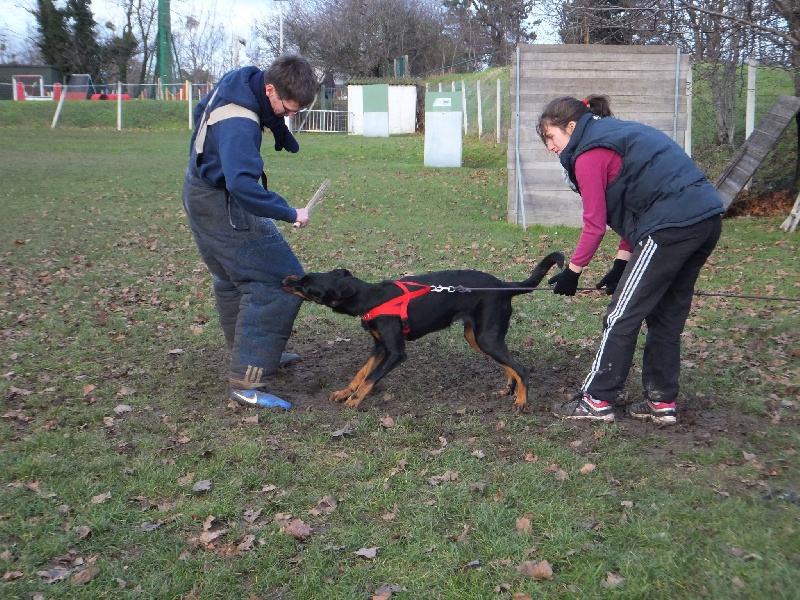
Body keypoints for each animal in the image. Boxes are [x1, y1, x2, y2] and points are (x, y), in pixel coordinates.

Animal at [282, 251, 564, 410]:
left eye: (306, 287)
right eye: (303, 278)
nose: (285, 279)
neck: (369, 297)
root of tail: (505, 286)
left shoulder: (395, 353)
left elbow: (371, 378)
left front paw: (354, 401)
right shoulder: (379, 347)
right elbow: (360, 374)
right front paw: (344, 392)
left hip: (486, 338)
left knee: (522, 368)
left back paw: (521, 401)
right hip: (476, 337)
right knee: (509, 365)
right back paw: (509, 389)